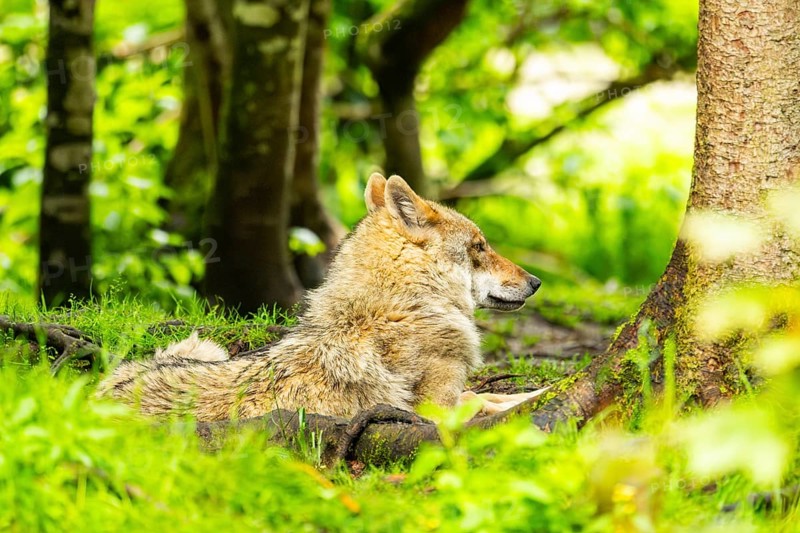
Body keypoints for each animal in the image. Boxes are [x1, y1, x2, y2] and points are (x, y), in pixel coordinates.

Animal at [97, 173, 545, 420]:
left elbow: (490, 394)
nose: (537, 281)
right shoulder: (435, 414)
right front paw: (537, 398)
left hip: (202, 348)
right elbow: (483, 400)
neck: (401, 307)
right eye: (480, 247)